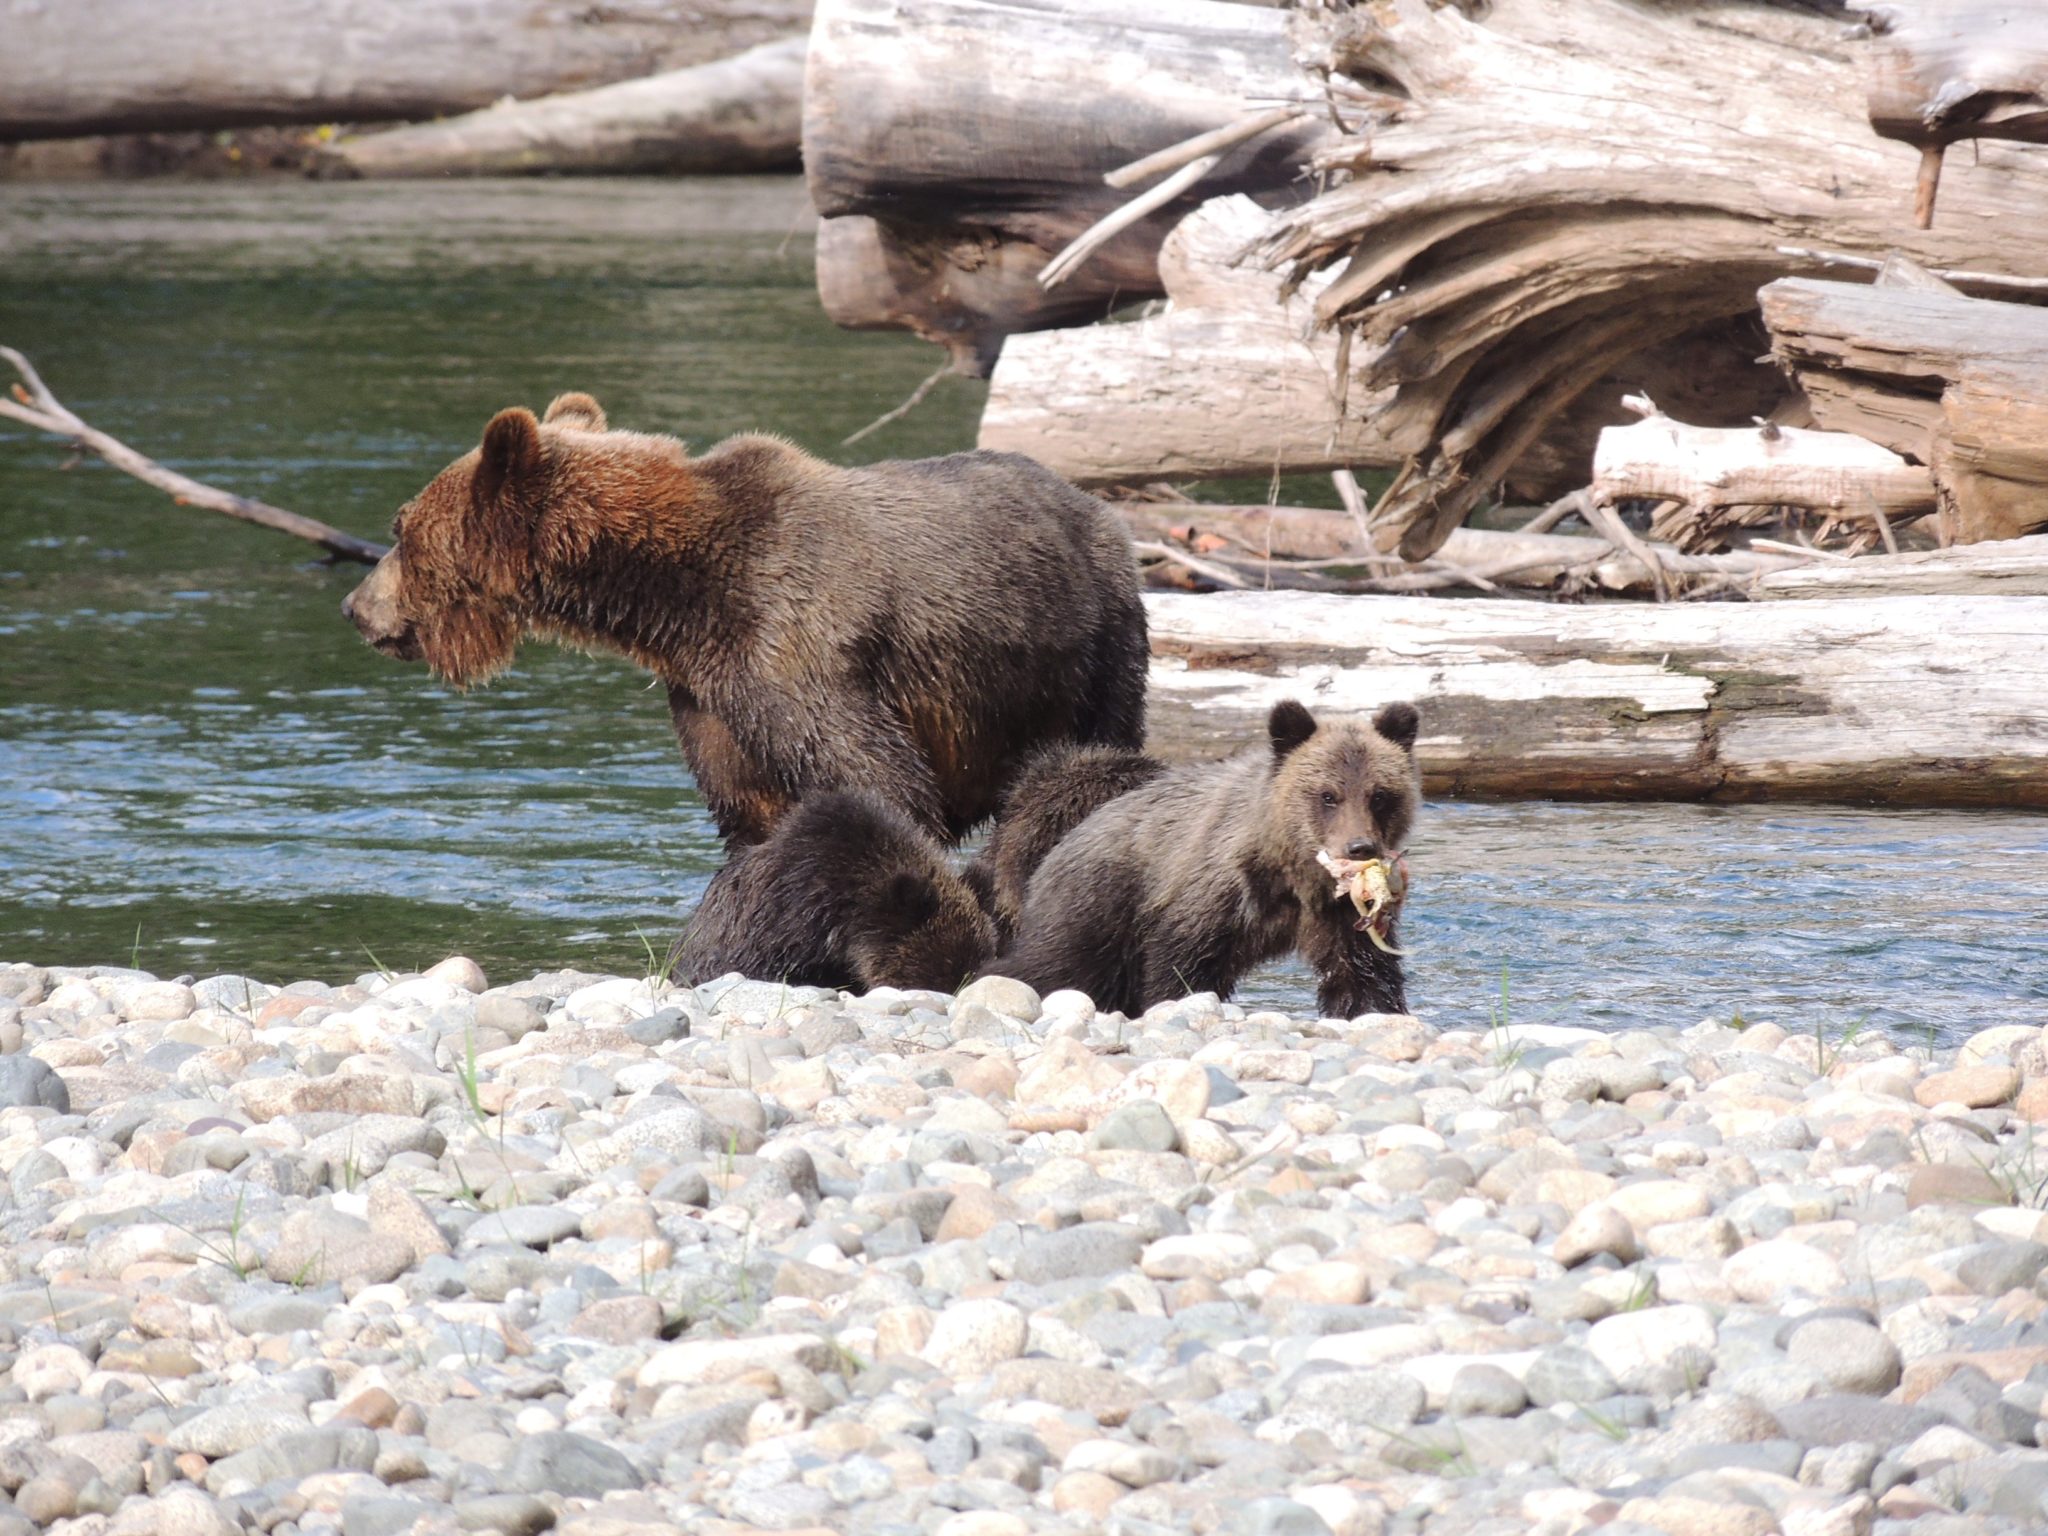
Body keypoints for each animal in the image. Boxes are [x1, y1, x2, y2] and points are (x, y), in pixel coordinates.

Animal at [350, 397, 1155, 847]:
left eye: (400, 528)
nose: (355, 607)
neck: (675, 597)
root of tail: (1097, 506)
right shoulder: (709, 692)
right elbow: (747, 803)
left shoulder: (796, 650)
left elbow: (878, 784)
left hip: (1094, 642)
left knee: (1094, 753)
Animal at [995, 700, 1417, 1024]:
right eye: (1328, 795)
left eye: (1380, 795)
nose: (1360, 847)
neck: (1291, 875)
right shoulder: (1212, 891)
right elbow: (1180, 964)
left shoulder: (1340, 916)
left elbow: (1363, 974)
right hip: (1097, 907)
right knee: (1055, 965)